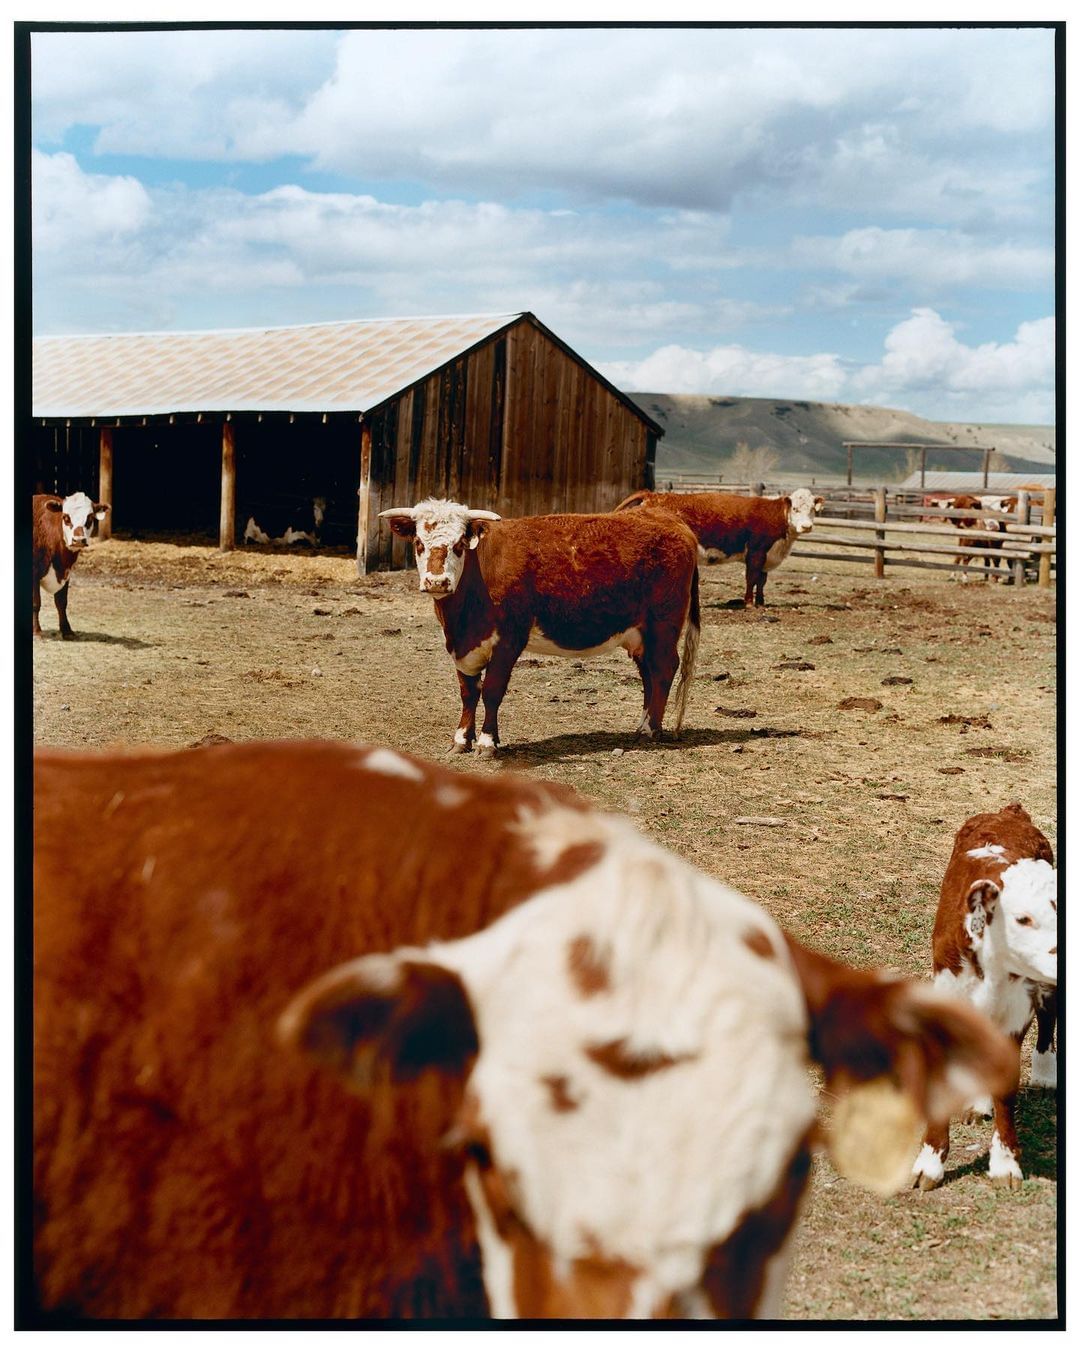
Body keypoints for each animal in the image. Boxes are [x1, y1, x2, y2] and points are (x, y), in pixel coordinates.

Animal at [32, 492, 109, 639]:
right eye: (66, 517)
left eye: (90, 518)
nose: (78, 540)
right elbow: (35, 603)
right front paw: (36, 631)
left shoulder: (66, 573)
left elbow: (62, 602)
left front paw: (66, 630)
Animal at [378, 498, 701, 756]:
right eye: (419, 544)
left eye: (458, 546)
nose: (437, 582)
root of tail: (667, 518)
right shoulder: (464, 646)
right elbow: (468, 692)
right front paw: (461, 740)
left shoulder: (508, 640)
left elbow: (492, 691)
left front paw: (487, 742)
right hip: (641, 633)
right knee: (648, 673)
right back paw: (643, 724)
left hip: (664, 624)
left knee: (663, 669)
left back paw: (650, 730)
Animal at [613, 488, 824, 608]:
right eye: (795, 508)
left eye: (812, 510)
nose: (807, 526)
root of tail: (653, 494)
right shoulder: (756, 552)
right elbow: (752, 578)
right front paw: (749, 603)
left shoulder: (766, 555)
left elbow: (762, 581)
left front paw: (761, 602)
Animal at [911, 803, 1056, 1192]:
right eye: (1022, 919)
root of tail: (1010, 811)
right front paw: (929, 1164)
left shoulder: (1017, 1008)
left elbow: (1005, 1087)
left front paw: (1005, 1164)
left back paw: (1044, 1076)